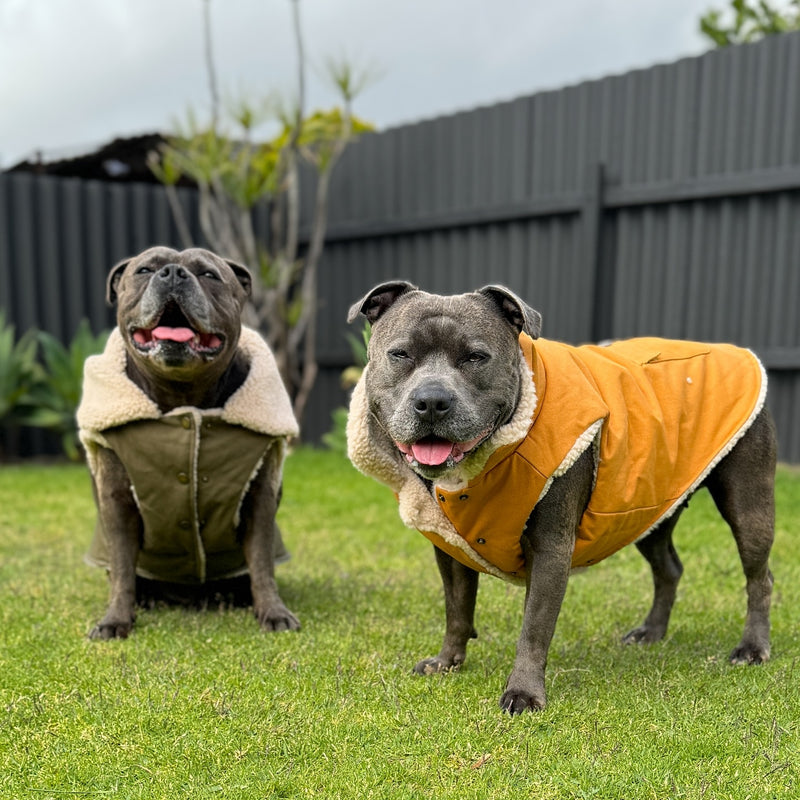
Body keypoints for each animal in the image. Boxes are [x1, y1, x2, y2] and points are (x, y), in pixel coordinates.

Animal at [78, 247, 298, 640]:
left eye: (209, 275)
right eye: (144, 269)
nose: (172, 273)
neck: (184, 398)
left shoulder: (259, 497)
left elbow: (261, 562)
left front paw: (273, 612)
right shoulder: (117, 500)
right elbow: (121, 568)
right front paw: (115, 620)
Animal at [346, 280, 776, 712]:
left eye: (476, 357)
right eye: (400, 354)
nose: (432, 401)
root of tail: (734, 350)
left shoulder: (550, 548)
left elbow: (534, 626)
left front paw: (523, 692)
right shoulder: (449, 549)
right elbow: (457, 609)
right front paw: (448, 661)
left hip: (748, 504)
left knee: (759, 576)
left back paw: (752, 647)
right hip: (648, 506)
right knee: (668, 568)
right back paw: (652, 632)